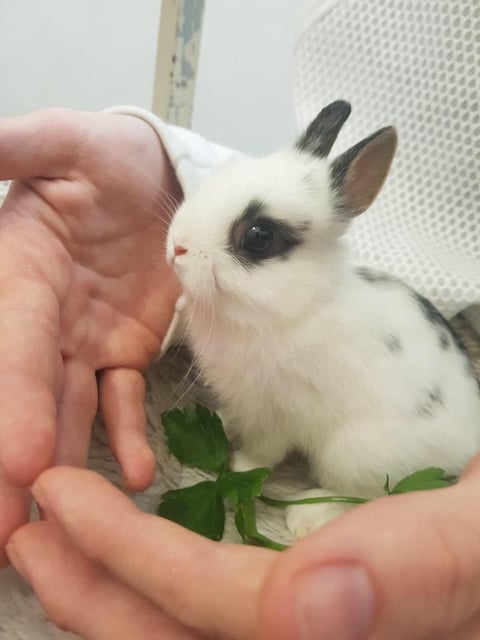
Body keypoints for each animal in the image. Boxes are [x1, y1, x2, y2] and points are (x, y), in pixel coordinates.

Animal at [165, 100, 480, 536]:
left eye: (258, 237)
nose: (177, 247)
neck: (300, 305)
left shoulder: (276, 412)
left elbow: (263, 451)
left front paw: (239, 465)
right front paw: (222, 421)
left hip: (354, 453)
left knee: (366, 497)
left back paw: (308, 515)